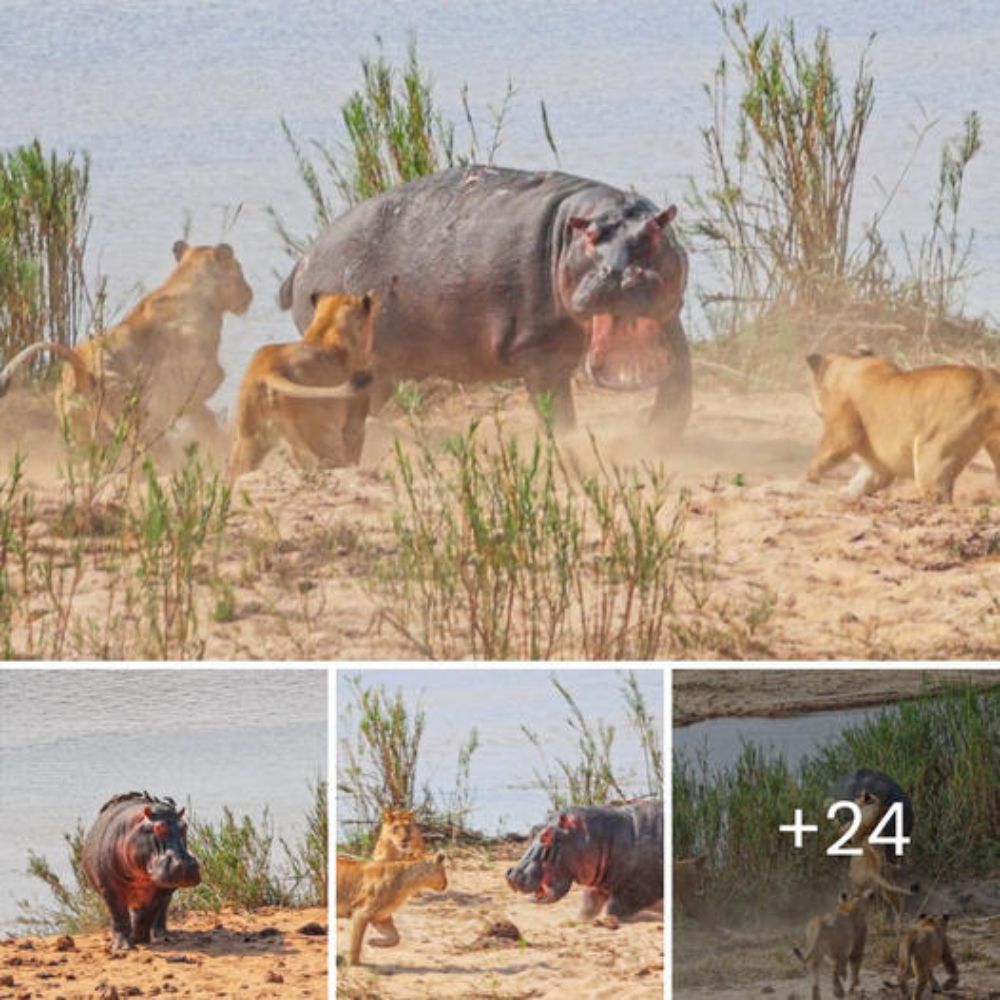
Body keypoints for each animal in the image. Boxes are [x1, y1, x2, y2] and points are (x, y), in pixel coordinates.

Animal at [82, 792, 201, 948]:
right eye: (158, 827)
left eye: (184, 826)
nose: (185, 864)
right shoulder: (109, 889)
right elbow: (119, 916)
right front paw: (123, 947)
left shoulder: (159, 890)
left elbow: (148, 914)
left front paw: (140, 939)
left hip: (166, 890)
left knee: (161, 911)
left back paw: (162, 936)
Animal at [278, 167, 692, 454]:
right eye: (590, 237)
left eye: (654, 232)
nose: (620, 273)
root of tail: (302, 260)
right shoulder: (538, 352)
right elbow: (555, 408)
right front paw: (567, 444)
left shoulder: (672, 323)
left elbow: (678, 384)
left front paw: (659, 434)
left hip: (382, 370)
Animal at [508, 796, 664, 920]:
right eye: (533, 830)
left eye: (547, 835)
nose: (512, 873)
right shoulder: (597, 887)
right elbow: (587, 908)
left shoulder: (635, 892)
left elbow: (612, 909)